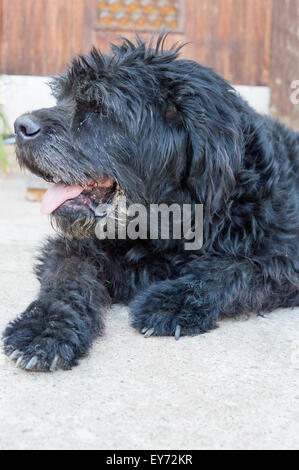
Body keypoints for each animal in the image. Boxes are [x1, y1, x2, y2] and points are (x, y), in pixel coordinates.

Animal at [2, 35, 299, 370]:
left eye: (100, 108)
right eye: (63, 96)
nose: (19, 126)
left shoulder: (284, 257)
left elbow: (233, 269)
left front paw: (172, 301)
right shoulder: (74, 248)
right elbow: (66, 279)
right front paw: (45, 329)